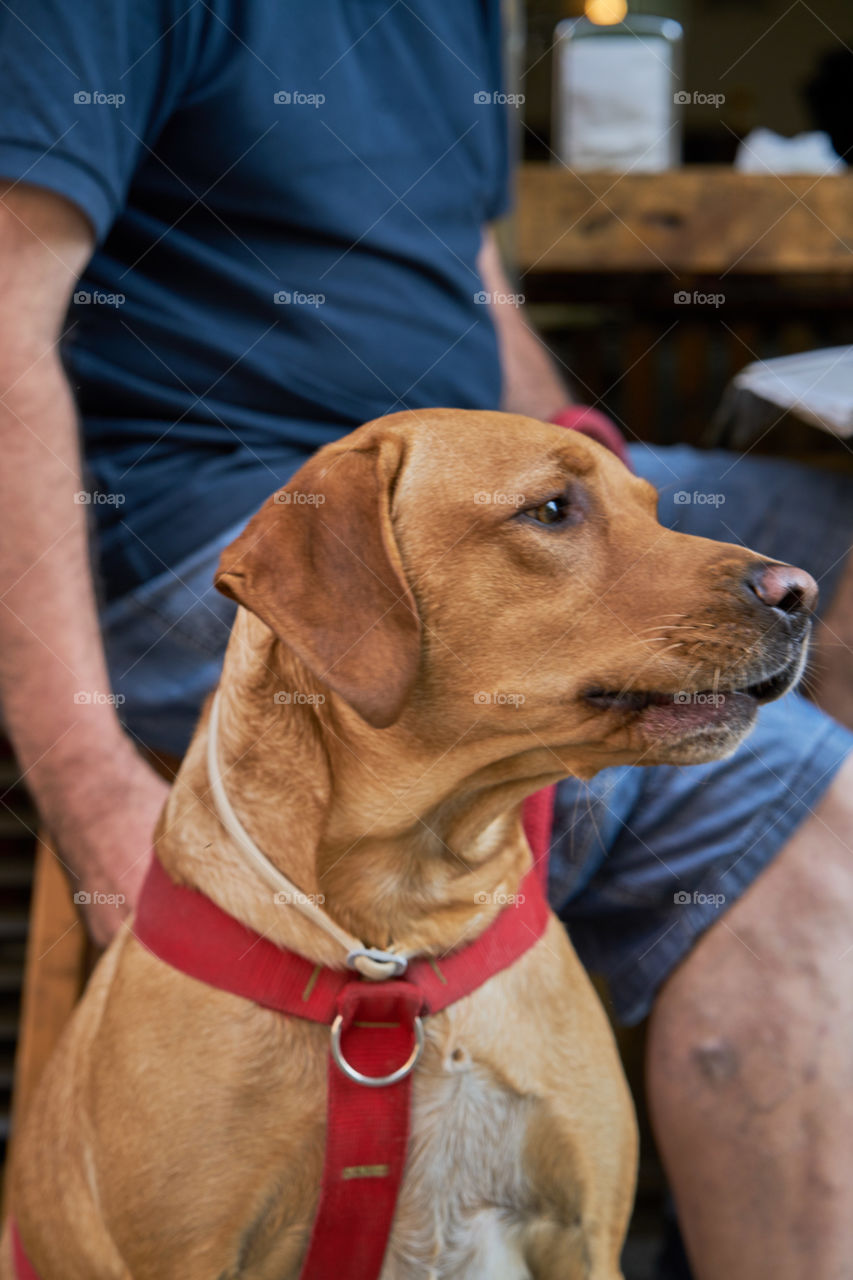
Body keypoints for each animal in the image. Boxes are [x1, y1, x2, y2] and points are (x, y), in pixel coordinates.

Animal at [3, 412, 814, 1280]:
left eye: (652, 509)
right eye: (551, 510)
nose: (801, 592)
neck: (405, 918)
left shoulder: (584, 1237)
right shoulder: (188, 1257)